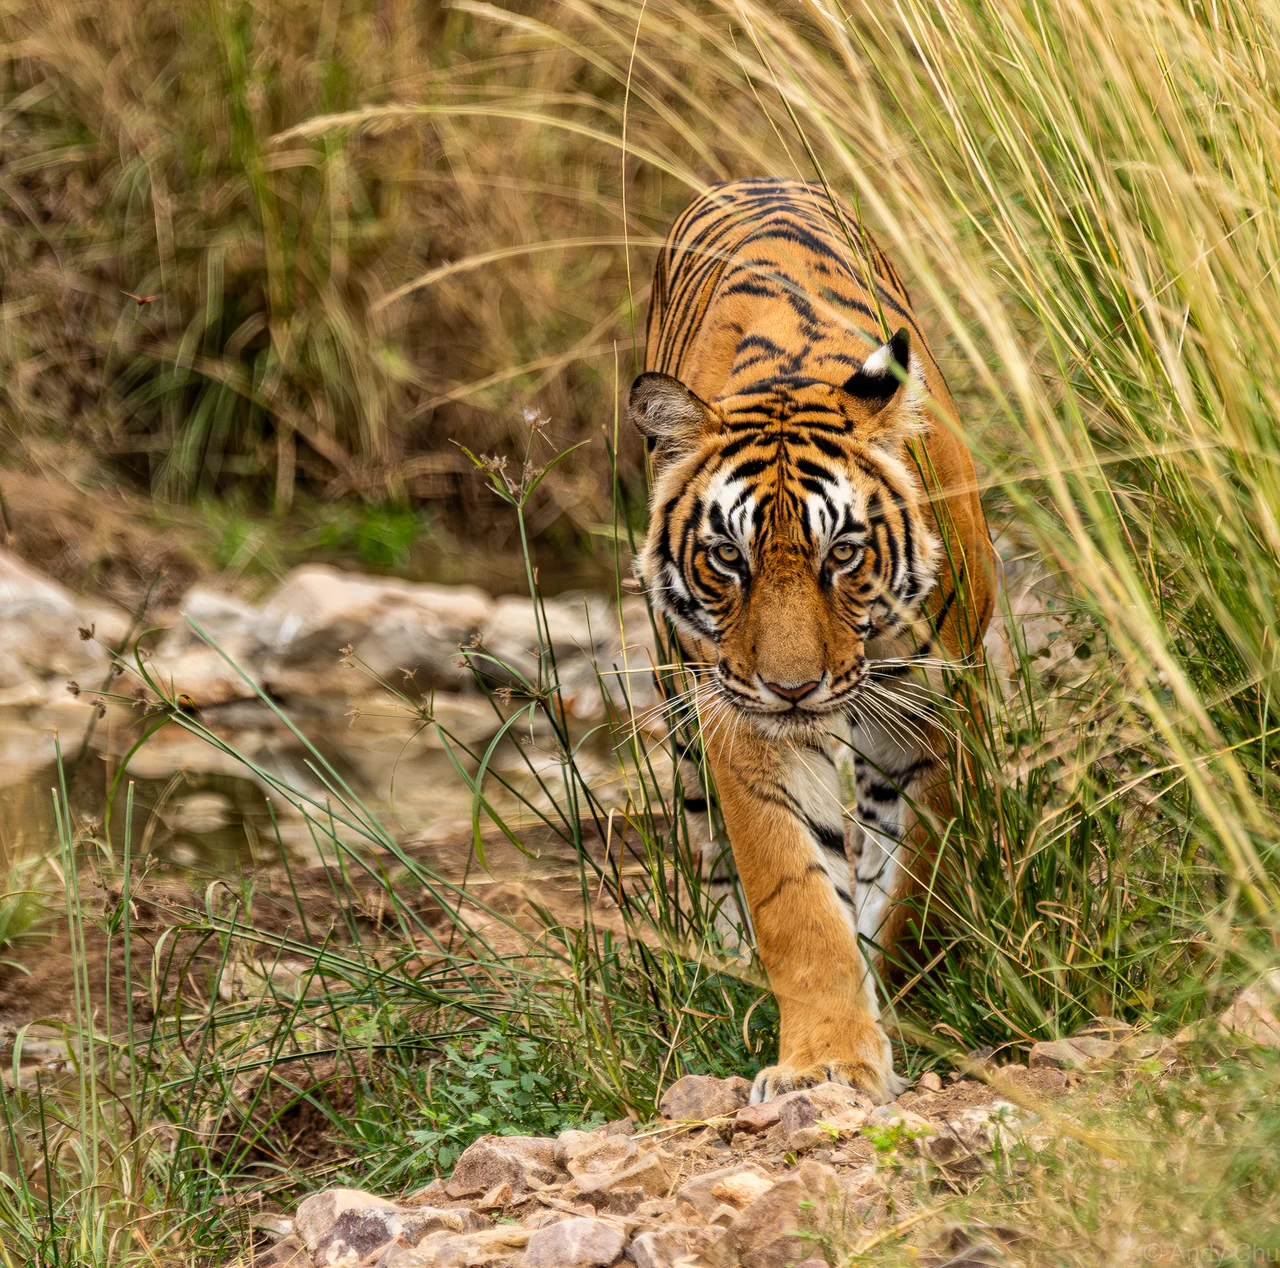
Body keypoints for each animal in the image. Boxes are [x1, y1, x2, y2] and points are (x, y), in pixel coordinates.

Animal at [630, 177, 996, 1105]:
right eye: (729, 556)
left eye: (844, 554)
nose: (792, 689)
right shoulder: (742, 723)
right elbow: (794, 898)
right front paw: (826, 1060)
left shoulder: (931, 707)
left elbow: (910, 876)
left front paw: (886, 994)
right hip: (679, 698)